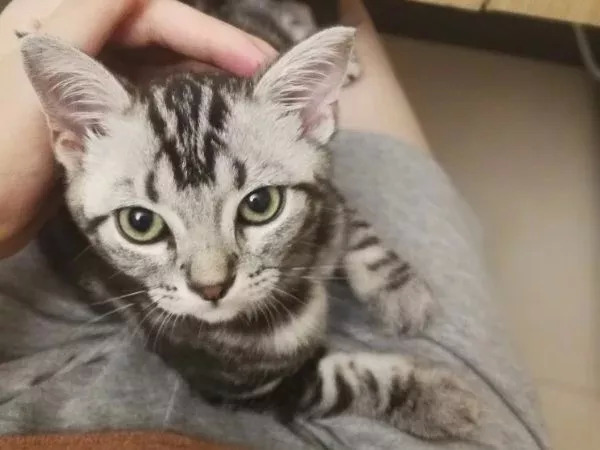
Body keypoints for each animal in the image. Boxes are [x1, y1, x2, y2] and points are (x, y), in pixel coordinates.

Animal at [20, 21, 479, 441]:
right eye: (140, 223)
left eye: (260, 205)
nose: (211, 287)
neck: (299, 269)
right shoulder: (243, 387)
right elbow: (345, 380)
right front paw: (437, 398)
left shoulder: (328, 197)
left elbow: (353, 223)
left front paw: (400, 292)